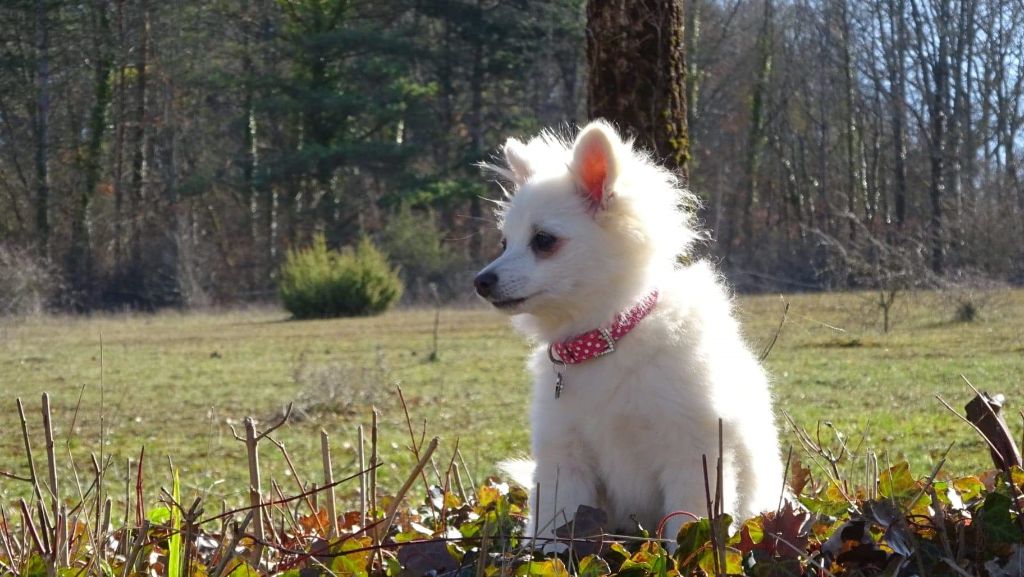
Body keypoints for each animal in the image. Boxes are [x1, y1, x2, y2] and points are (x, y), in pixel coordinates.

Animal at [475, 121, 786, 541]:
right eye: (505, 243)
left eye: (543, 240)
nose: (481, 282)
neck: (608, 339)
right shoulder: (564, 461)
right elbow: (553, 529)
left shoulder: (693, 456)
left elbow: (686, 528)